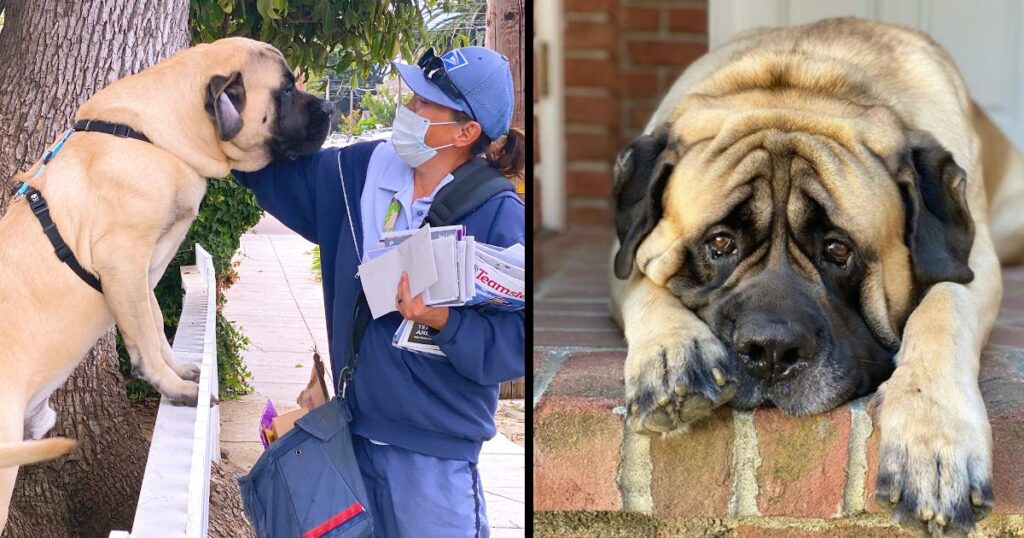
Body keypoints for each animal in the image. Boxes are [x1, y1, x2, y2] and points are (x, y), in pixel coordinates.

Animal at [0, 36, 329, 528]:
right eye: (286, 90)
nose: (329, 107)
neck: (161, 138)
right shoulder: (123, 261)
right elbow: (146, 337)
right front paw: (174, 389)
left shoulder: (146, 271)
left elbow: (153, 327)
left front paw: (178, 369)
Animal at [610, 17, 1019, 536]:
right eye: (720, 243)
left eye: (837, 249)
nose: (770, 351)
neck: (805, 78)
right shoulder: (623, 252)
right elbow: (645, 283)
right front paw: (672, 355)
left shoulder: (972, 263)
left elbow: (945, 305)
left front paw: (933, 439)